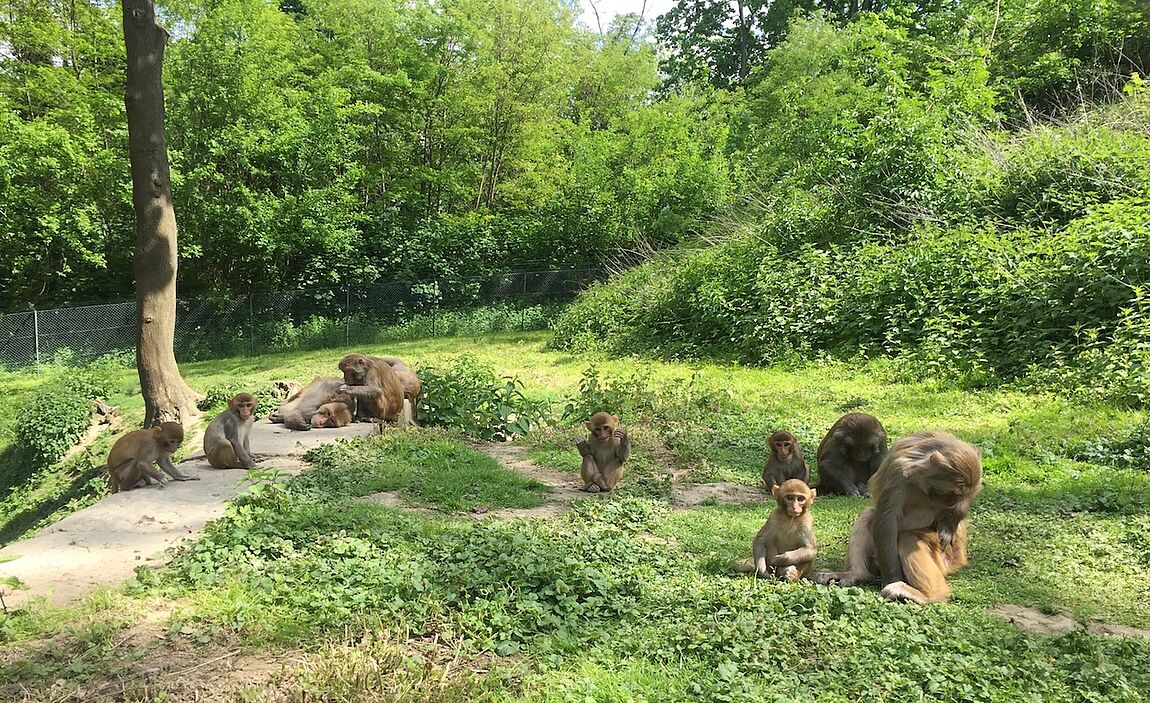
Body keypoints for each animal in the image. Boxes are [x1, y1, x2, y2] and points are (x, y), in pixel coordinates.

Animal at [814, 428, 984, 602]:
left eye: (957, 496)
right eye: (951, 495)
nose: (951, 504)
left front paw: (948, 526)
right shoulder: (899, 472)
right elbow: (886, 521)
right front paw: (892, 578)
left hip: (946, 555)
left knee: (907, 538)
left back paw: (929, 594)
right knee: (870, 516)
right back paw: (856, 574)